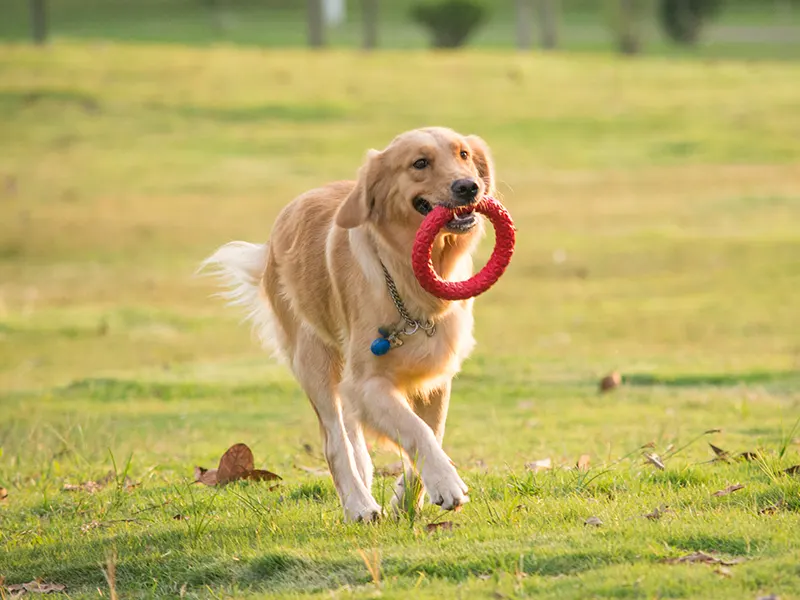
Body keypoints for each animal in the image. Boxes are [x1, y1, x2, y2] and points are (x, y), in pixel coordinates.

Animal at [205, 126, 494, 520]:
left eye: (463, 154)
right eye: (420, 163)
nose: (469, 187)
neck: (407, 277)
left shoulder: (434, 376)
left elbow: (431, 430)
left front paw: (407, 498)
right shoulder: (367, 382)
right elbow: (415, 430)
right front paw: (446, 484)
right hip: (313, 360)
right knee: (335, 441)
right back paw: (358, 504)